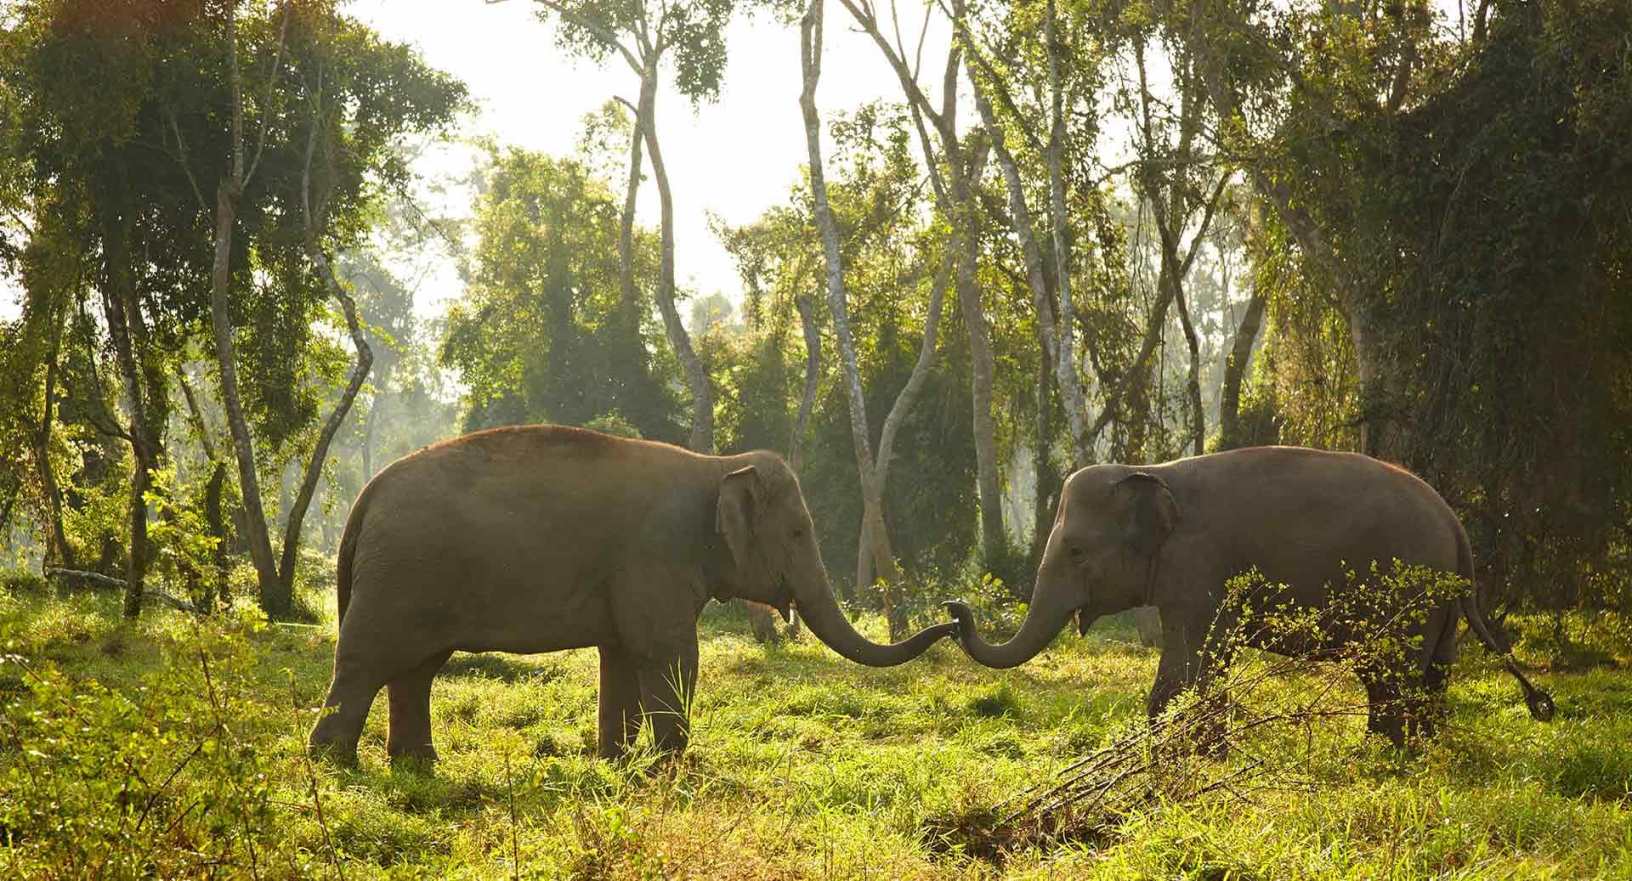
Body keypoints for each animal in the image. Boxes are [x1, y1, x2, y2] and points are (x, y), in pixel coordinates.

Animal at [306, 427, 953, 763]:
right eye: (798, 531)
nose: (956, 614)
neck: (716, 466)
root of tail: (366, 495)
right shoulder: (655, 557)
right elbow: (668, 653)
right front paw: (672, 765)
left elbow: (620, 657)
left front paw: (616, 762)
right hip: (400, 576)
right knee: (366, 660)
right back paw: (334, 764)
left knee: (416, 669)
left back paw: (417, 765)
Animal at [946, 447, 1553, 743]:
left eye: (1074, 551)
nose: (955, 610)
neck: (1150, 470)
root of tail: (1454, 523)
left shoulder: (1198, 565)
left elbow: (1188, 662)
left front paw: (1178, 752)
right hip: (1438, 603)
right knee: (1432, 674)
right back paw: (1417, 754)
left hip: (1407, 596)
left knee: (1389, 675)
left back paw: (1380, 757)